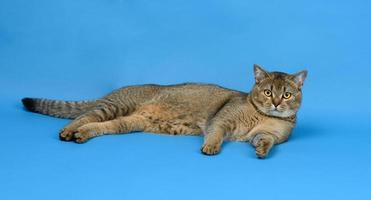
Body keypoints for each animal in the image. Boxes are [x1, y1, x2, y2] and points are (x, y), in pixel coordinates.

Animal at [21, 65, 310, 159]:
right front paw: (211, 147)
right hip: (114, 106)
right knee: (86, 115)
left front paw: (262, 152)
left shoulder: (268, 135)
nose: (276, 103)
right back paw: (68, 131)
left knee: (99, 126)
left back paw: (80, 135)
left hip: (128, 122)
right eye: (268, 92)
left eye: (286, 94)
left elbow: (265, 141)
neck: (264, 116)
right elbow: (215, 133)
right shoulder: (222, 119)